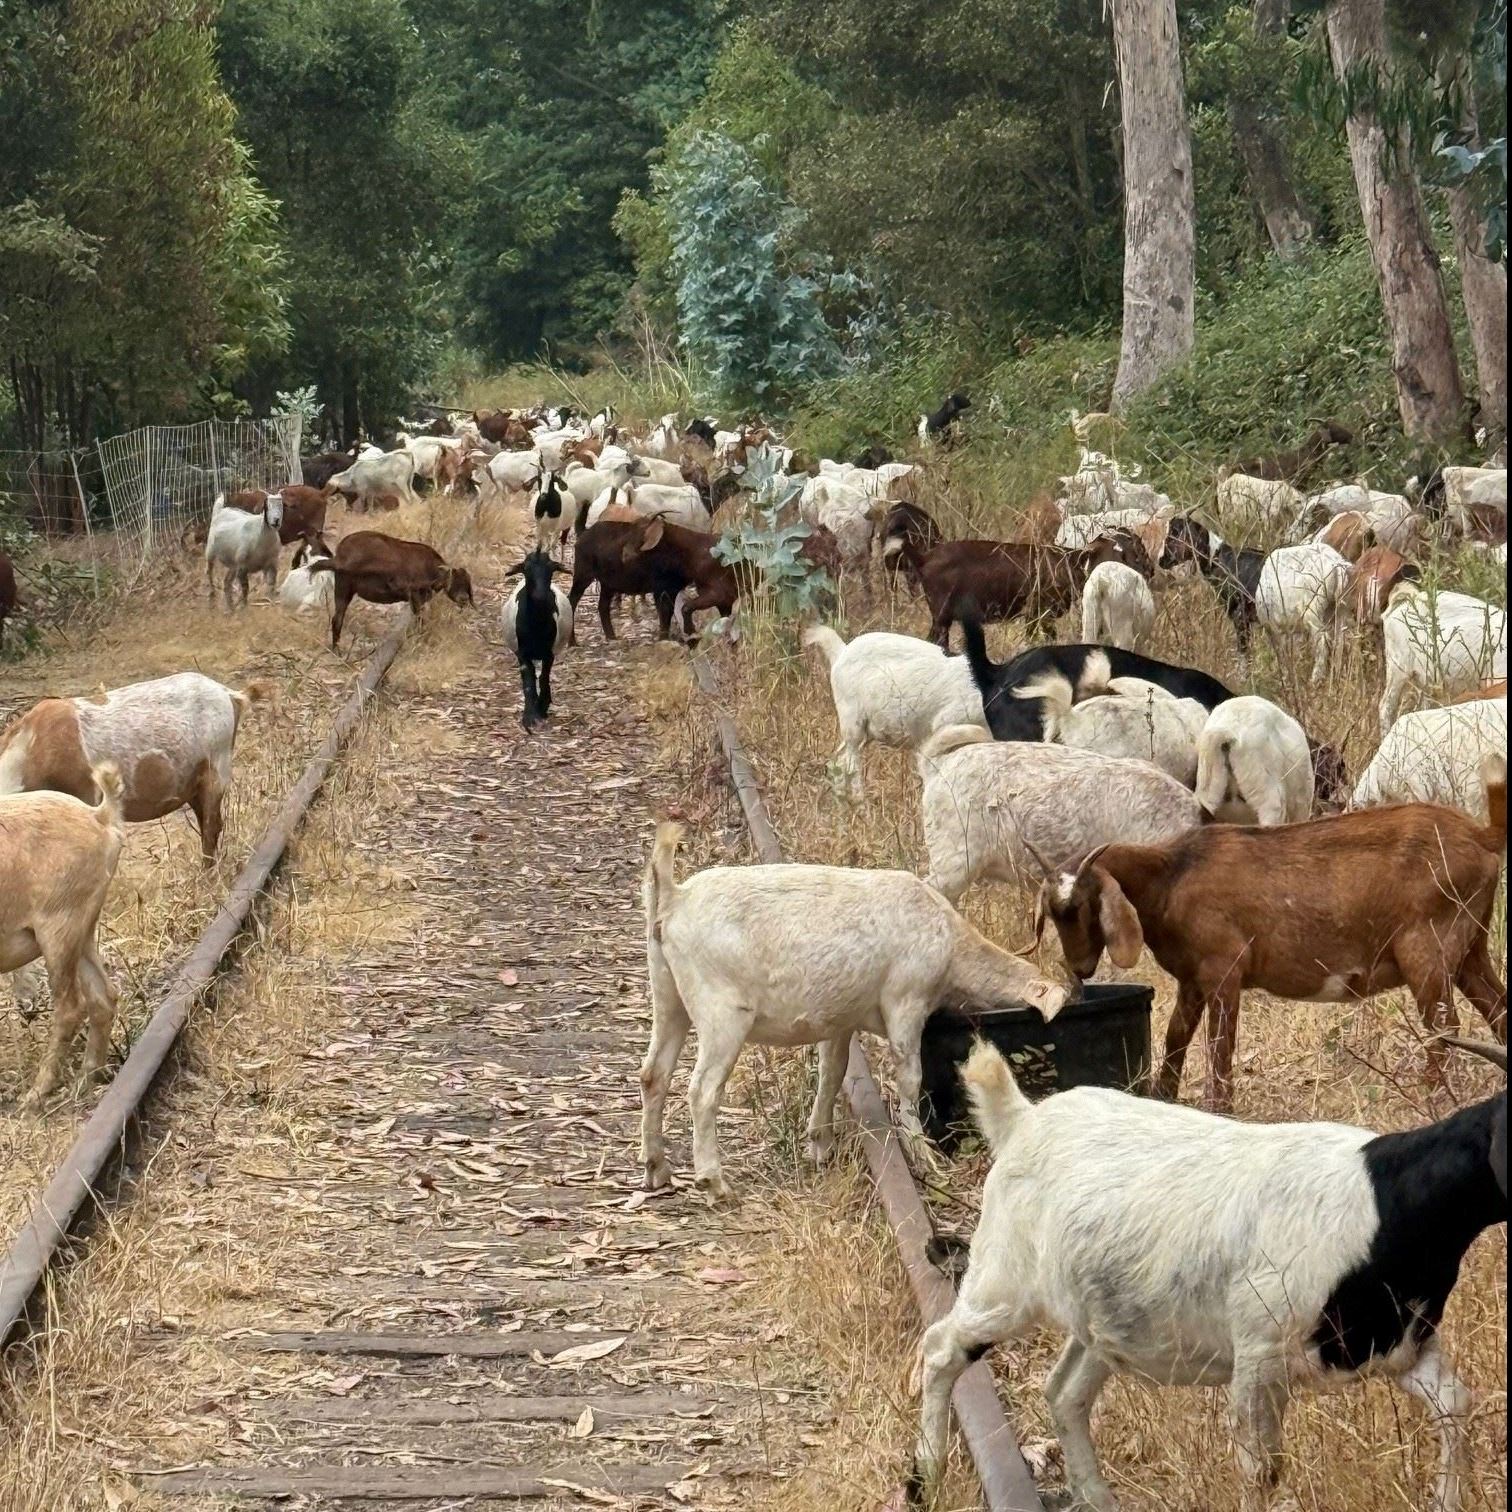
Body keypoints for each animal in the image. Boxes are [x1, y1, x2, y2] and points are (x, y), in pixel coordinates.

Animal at [639, 822, 1065, 1199]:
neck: (952, 947)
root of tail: (674, 898)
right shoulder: (906, 1000)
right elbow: (909, 1075)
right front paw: (924, 1158)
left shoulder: (840, 1019)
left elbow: (834, 1071)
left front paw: (820, 1145)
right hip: (722, 1010)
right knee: (702, 1090)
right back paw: (714, 1184)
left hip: (667, 992)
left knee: (653, 1074)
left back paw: (656, 1169)